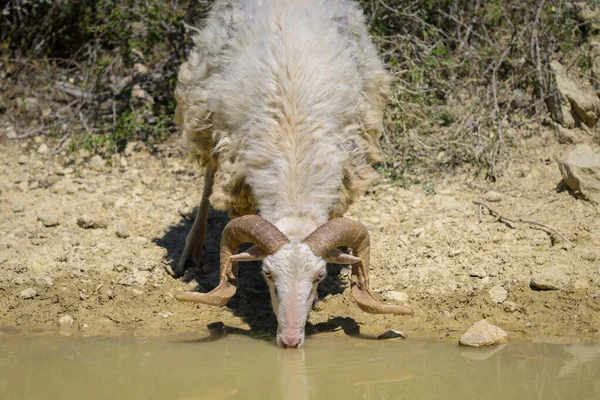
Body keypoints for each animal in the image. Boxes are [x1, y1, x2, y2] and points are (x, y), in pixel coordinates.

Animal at [171, 0, 410, 348]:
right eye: (268, 274)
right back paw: (192, 251)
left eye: (319, 276)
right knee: (207, 179)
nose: (290, 340)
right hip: (203, 110)